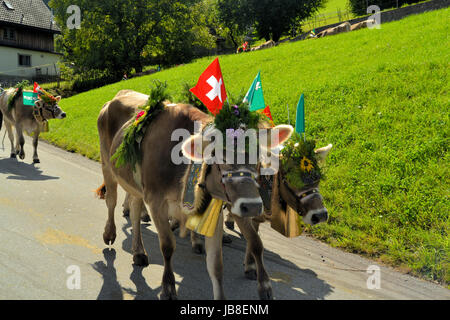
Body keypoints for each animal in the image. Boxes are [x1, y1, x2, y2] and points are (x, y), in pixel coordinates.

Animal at [97, 89, 294, 298]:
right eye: (222, 156)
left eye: (259, 156)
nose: (254, 206)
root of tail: (119, 95)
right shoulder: (156, 201)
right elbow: (167, 246)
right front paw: (168, 287)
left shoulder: (215, 209)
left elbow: (217, 265)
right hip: (107, 165)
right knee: (111, 201)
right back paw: (109, 233)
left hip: (134, 185)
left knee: (134, 211)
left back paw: (139, 252)